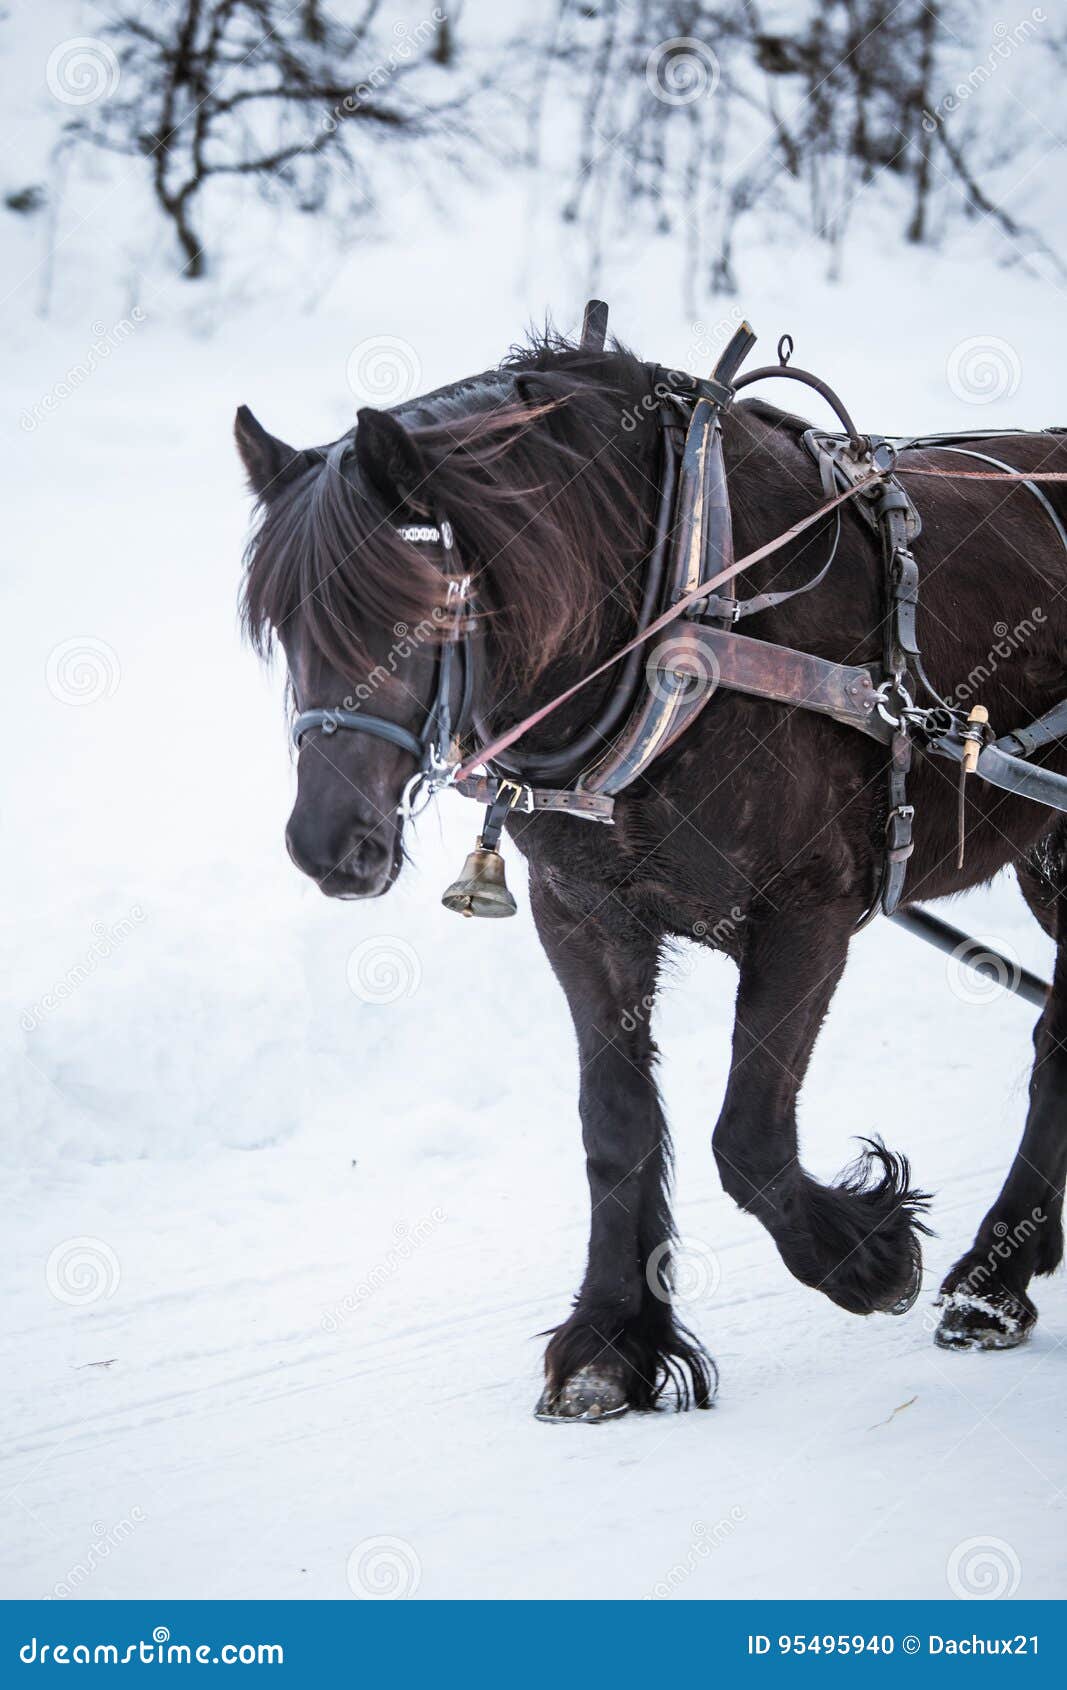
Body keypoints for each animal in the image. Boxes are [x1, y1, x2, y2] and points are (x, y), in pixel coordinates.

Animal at [236, 327, 1067, 1422]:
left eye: (419, 611)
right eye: (283, 625)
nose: (325, 844)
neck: (677, 609)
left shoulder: (808, 907)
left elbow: (746, 1136)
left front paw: (867, 1256)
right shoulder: (583, 916)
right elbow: (615, 1124)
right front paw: (608, 1341)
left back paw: (987, 1281)